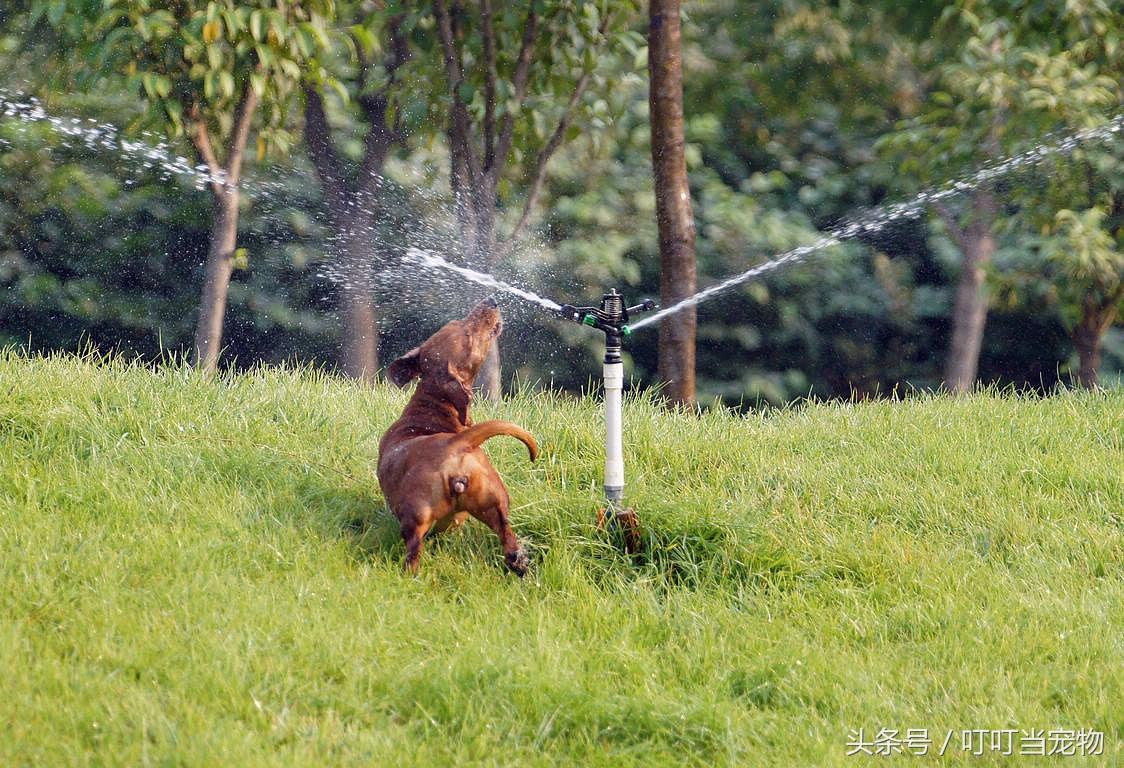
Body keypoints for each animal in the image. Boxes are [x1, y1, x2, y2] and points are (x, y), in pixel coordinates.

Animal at [375, 301, 537, 575]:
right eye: (468, 334)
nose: (491, 301)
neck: (432, 405)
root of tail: (455, 445)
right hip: (494, 500)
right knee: (506, 533)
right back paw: (518, 561)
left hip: (418, 516)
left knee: (414, 550)